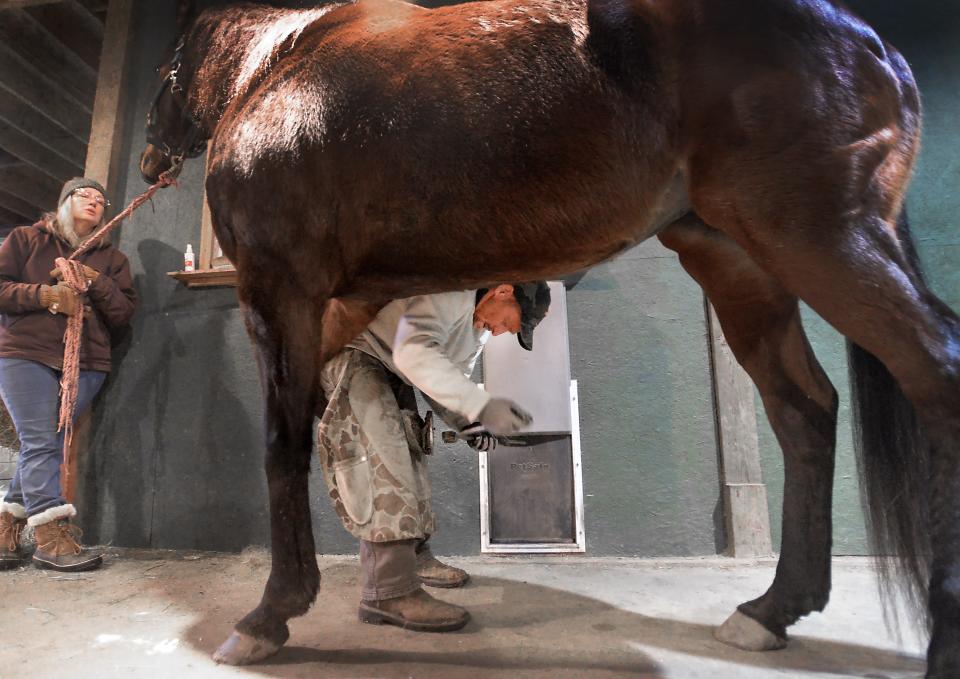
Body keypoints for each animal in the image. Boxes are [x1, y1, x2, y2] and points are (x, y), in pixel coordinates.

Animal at [139, 0, 956, 676]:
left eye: (166, 67)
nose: (149, 155)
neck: (278, 64)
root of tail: (870, 39)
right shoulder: (336, 304)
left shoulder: (279, 290)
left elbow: (281, 443)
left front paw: (270, 615)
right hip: (741, 265)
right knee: (805, 412)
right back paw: (769, 611)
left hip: (823, 240)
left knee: (935, 373)